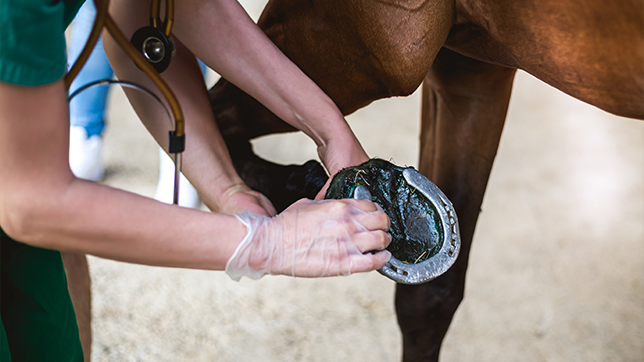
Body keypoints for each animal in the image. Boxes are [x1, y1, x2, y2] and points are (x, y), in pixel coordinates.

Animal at [206, 1, 644, 360]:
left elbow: (432, 298)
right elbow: (427, 299)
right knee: (217, 110)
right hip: (367, 52)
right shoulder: (456, 60)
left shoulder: (474, 67)